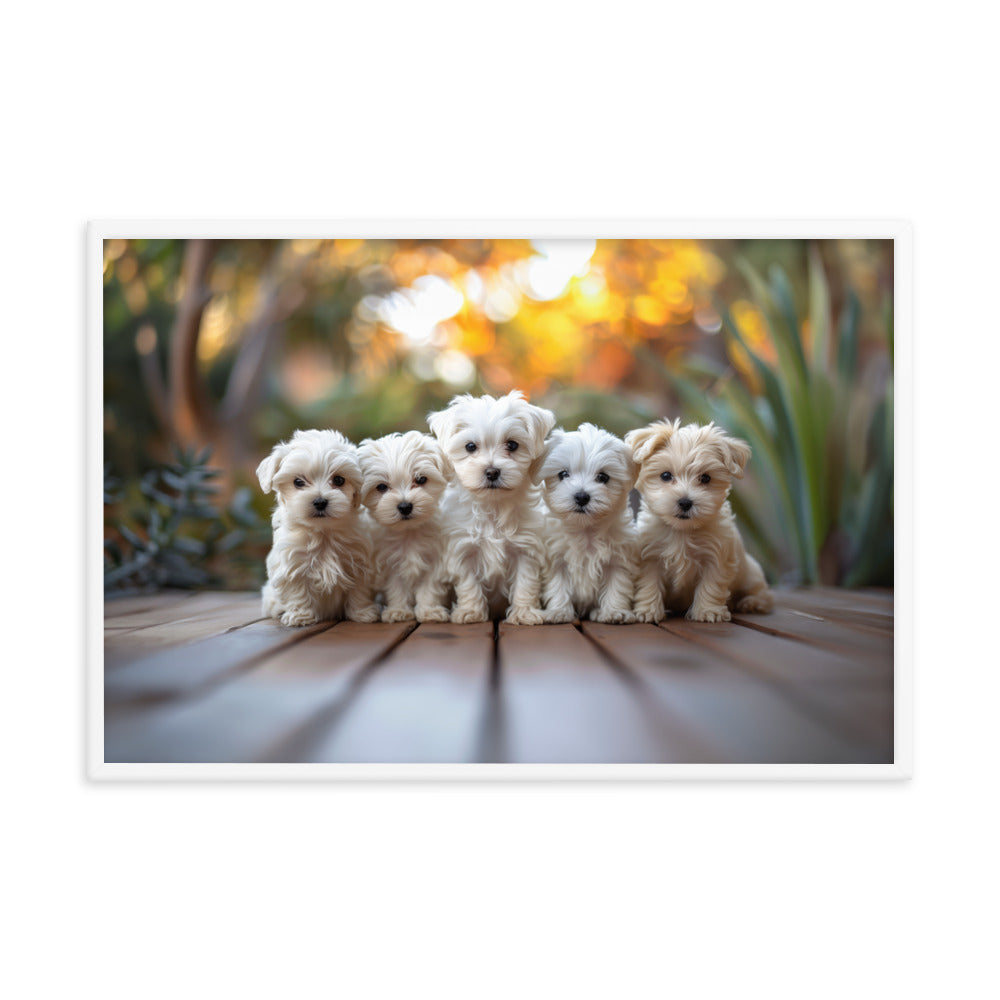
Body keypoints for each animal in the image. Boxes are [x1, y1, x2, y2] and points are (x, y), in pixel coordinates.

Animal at [256, 428, 380, 624]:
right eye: (298, 482)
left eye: (339, 480)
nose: (320, 502)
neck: (323, 532)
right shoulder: (292, 565)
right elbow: (297, 590)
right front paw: (300, 615)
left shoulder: (360, 563)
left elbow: (359, 591)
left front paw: (362, 613)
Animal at [358, 432, 452, 624]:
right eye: (381, 487)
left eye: (421, 479)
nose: (405, 506)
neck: (409, 532)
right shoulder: (390, 564)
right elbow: (397, 588)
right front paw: (398, 611)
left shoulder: (434, 562)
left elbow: (429, 588)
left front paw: (429, 611)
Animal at [428, 386, 560, 620]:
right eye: (470, 446)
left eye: (512, 445)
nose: (492, 472)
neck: (493, 506)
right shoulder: (464, 550)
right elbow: (469, 584)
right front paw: (470, 612)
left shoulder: (526, 549)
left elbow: (526, 583)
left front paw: (524, 613)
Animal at [540, 424, 640, 624]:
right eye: (563, 474)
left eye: (603, 477)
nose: (581, 496)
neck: (585, 530)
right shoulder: (556, 559)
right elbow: (558, 585)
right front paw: (558, 611)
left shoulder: (618, 560)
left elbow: (617, 585)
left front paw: (614, 611)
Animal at [624, 422, 772, 624]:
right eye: (665, 475)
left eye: (705, 478)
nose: (685, 502)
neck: (682, 531)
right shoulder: (650, 557)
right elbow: (648, 584)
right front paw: (647, 610)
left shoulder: (716, 557)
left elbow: (711, 584)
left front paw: (708, 611)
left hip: (751, 574)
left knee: (763, 594)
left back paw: (751, 603)